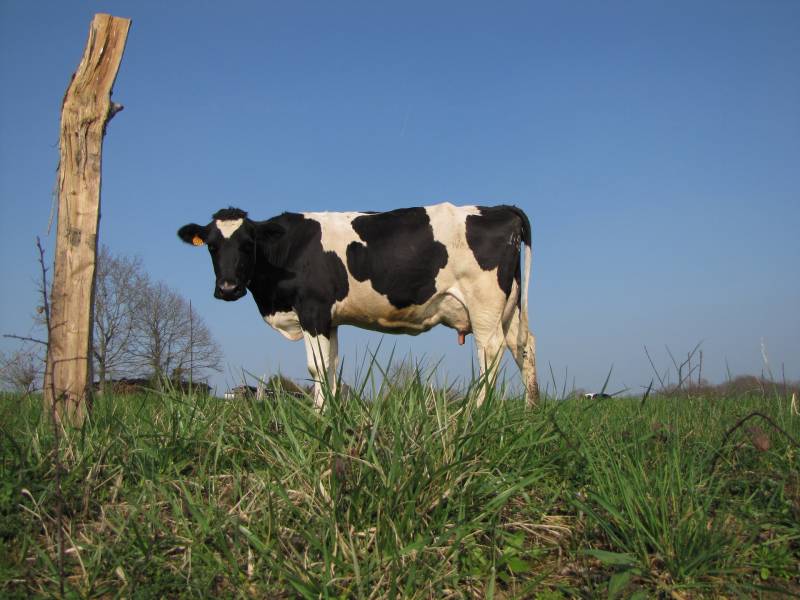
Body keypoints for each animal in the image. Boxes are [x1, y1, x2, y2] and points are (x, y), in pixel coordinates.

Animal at [178, 202, 538, 407]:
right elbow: (331, 367)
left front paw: (321, 417)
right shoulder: (330, 320)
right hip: (509, 307)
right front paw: (332, 413)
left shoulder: (312, 310)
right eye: (211, 246)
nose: (228, 288)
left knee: (489, 353)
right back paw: (531, 409)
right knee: (523, 347)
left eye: (248, 244)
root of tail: (499, 207)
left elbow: (316, 368)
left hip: (484, 305)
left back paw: (476, 412)